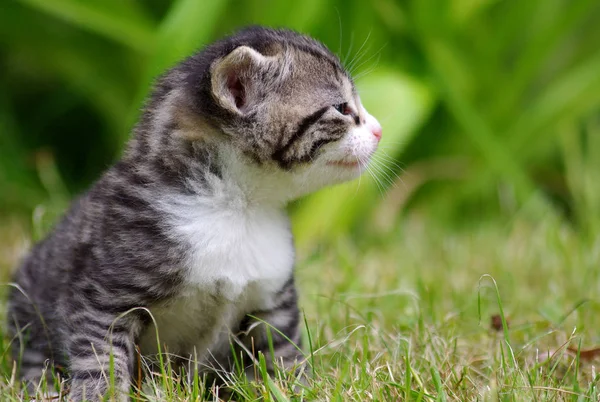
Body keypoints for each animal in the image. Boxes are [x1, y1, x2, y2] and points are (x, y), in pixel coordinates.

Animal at [7, 26, 382, 400]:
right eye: (342, 108)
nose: (379, 130)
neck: (239, 209)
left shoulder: (274, 300)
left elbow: (284, 353)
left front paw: (296, 389)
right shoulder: (103, 298)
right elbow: (101, 360)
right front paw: (101, 393)